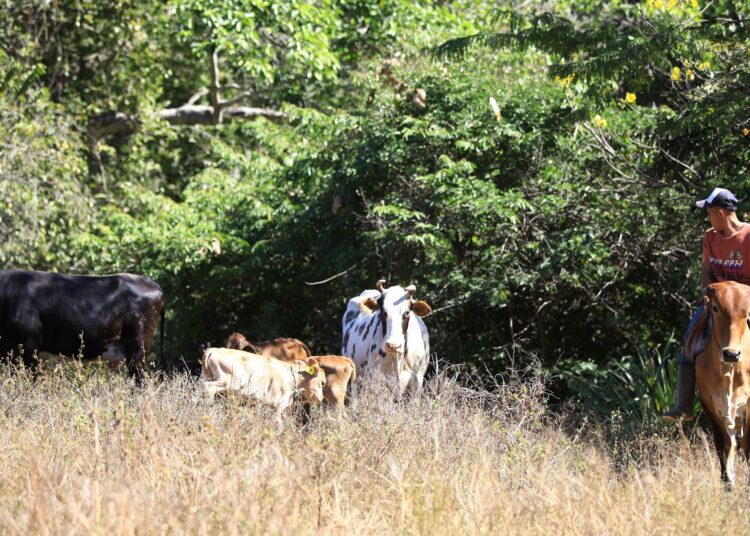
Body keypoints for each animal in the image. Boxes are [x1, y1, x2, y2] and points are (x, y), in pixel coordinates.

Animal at [686, 281, 750, 487]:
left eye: (747, 313)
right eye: (715, 308)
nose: (731, 354)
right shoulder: (709, 404)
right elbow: (724, 446)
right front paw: (727, 483)